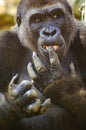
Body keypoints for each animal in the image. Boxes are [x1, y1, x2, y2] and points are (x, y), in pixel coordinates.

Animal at [0, 0, 86, 129]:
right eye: (37, 20)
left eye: (56, 16)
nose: (49, 32)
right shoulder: (5, 46)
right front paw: (16, 103)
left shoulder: (84, 37)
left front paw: (62, 87)